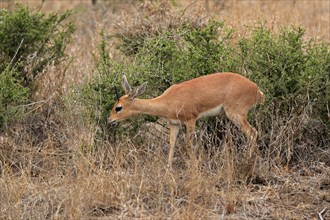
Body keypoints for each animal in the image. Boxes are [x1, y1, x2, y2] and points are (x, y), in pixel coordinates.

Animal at [109, 73, 264, 168]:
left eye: (118, 107)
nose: (109, 120)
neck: (169, 100)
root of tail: (257, 90)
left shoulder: (191, 120)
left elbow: (189, 145)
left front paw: (194, 168)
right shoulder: (174, 124)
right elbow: (172, 145)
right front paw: (168, 169)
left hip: (236, 115)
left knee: (253, 133)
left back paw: (249, 161)